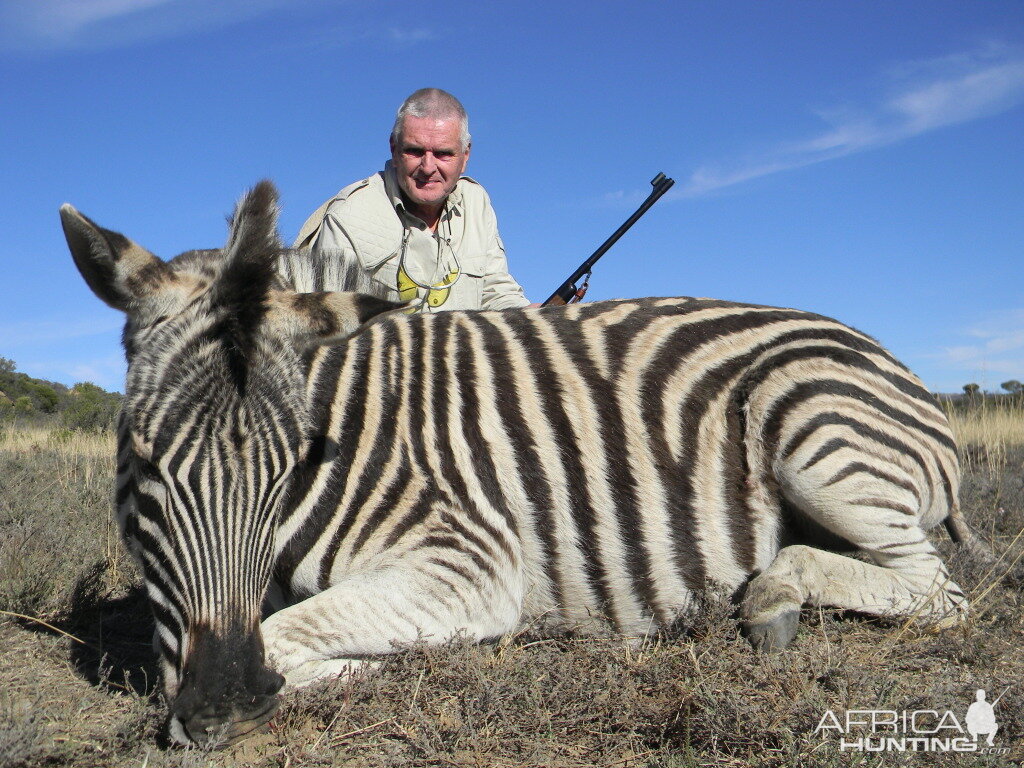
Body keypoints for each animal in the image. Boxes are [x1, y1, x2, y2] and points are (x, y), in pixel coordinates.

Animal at [61, 179, 974, 745]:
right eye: (143, 460)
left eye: (290, 466)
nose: (227, 708)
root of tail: (883, 353)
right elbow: (224, 645)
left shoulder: (470, 557)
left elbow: (290, 638)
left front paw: (450, 654)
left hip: (814, 430)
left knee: (938, 594)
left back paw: (774, 600)